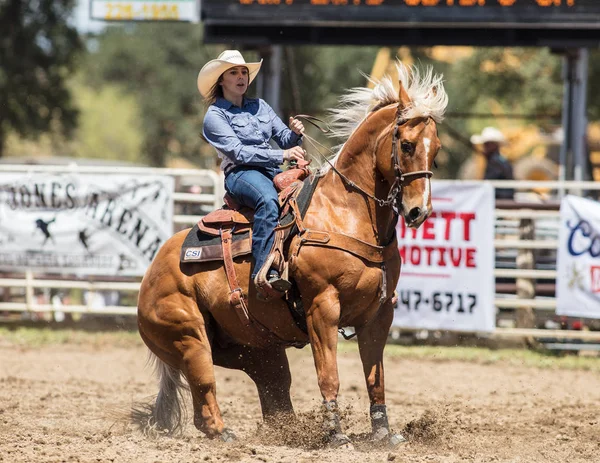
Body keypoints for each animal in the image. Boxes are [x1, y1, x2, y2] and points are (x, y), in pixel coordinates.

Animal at [136, 62, 446, 450]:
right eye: (406, 144)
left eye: (436, 150)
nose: (419, 211)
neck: (345, 212)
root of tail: (151, 273)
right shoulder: (322, 308)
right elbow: (329, 376)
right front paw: (336, 435)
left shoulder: (380, 312)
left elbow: (376, 379)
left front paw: (383, 433)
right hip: (190, 339)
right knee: (204, 392)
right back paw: (226, 434)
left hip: (259, 352)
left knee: (275, 395)